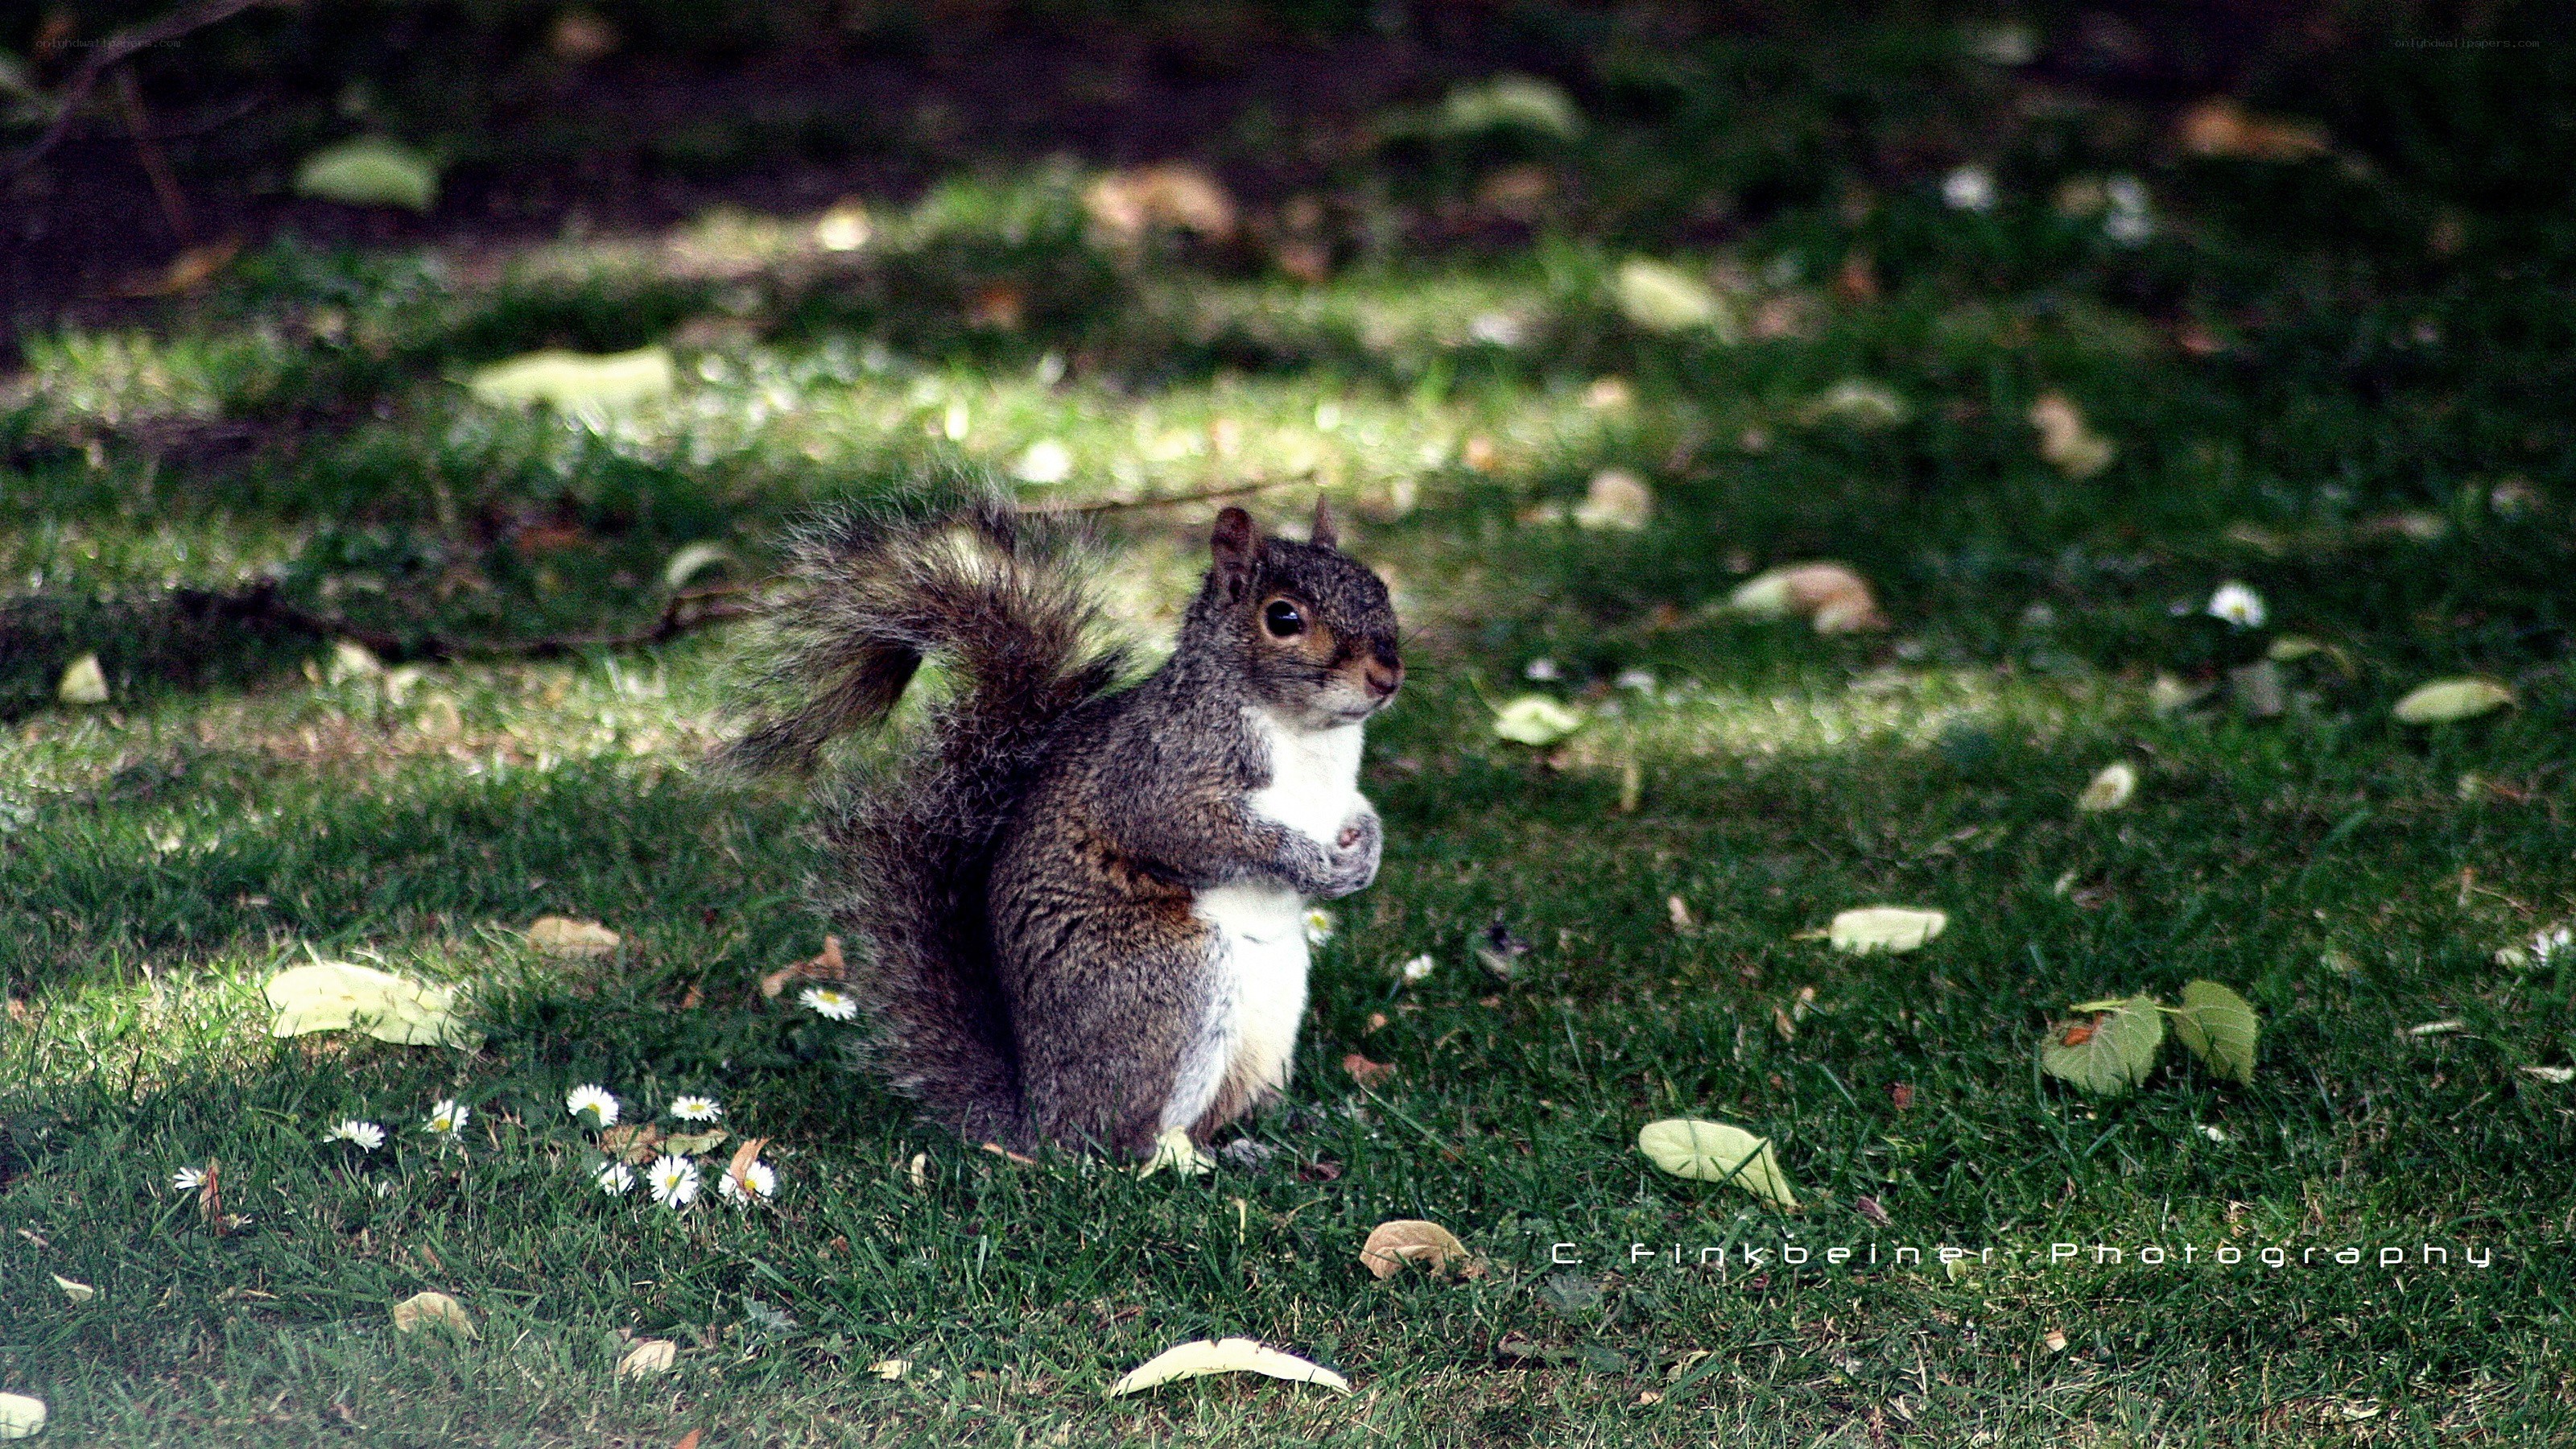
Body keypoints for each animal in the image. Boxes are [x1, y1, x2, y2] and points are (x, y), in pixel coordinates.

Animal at [729, 491, 1403, 1160]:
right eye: (1283, 618)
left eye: (1380, 587)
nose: (1386, 677)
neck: (1307, 735)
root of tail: (1039, 1117)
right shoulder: (1158, 777)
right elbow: (1193, 833)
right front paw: (1308, 862)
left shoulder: (1339, 792)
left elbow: (1360, 813)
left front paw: (1366, 853)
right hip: (1169, 981)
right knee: (1123, 1142)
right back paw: (1184, 1159)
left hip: (1271, 1015)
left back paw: (1264, 1138)